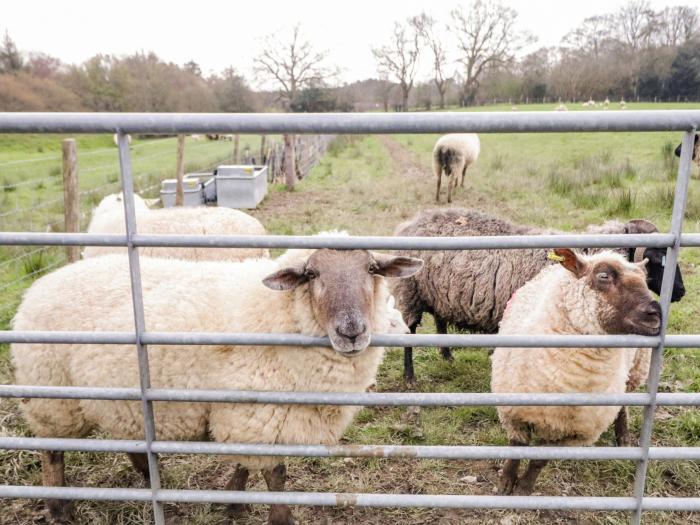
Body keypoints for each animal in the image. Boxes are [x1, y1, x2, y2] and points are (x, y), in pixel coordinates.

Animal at [10, 239, 424, 520]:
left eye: (371, 270)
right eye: (311, 274)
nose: (351, 331)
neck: (277, 314)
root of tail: (39, 286)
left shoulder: (251, 414)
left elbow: (246, 464)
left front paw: (231, 502)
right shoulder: (255, 411)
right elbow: (275, 474)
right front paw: (278, 516)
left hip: (120, 396)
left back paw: (156, 482)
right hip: (52, 395)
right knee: (52, 451)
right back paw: (60, 509)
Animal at [490, 250, 660, 496]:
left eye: (645, 281)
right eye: (603, 276)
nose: (655, 313)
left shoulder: (576, 434)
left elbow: (539, 461)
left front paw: (523, 489)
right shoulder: (512, 412)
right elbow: (516, 448)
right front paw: (505, 483)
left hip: (633, 372)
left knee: (622, 407)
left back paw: (624, 437)